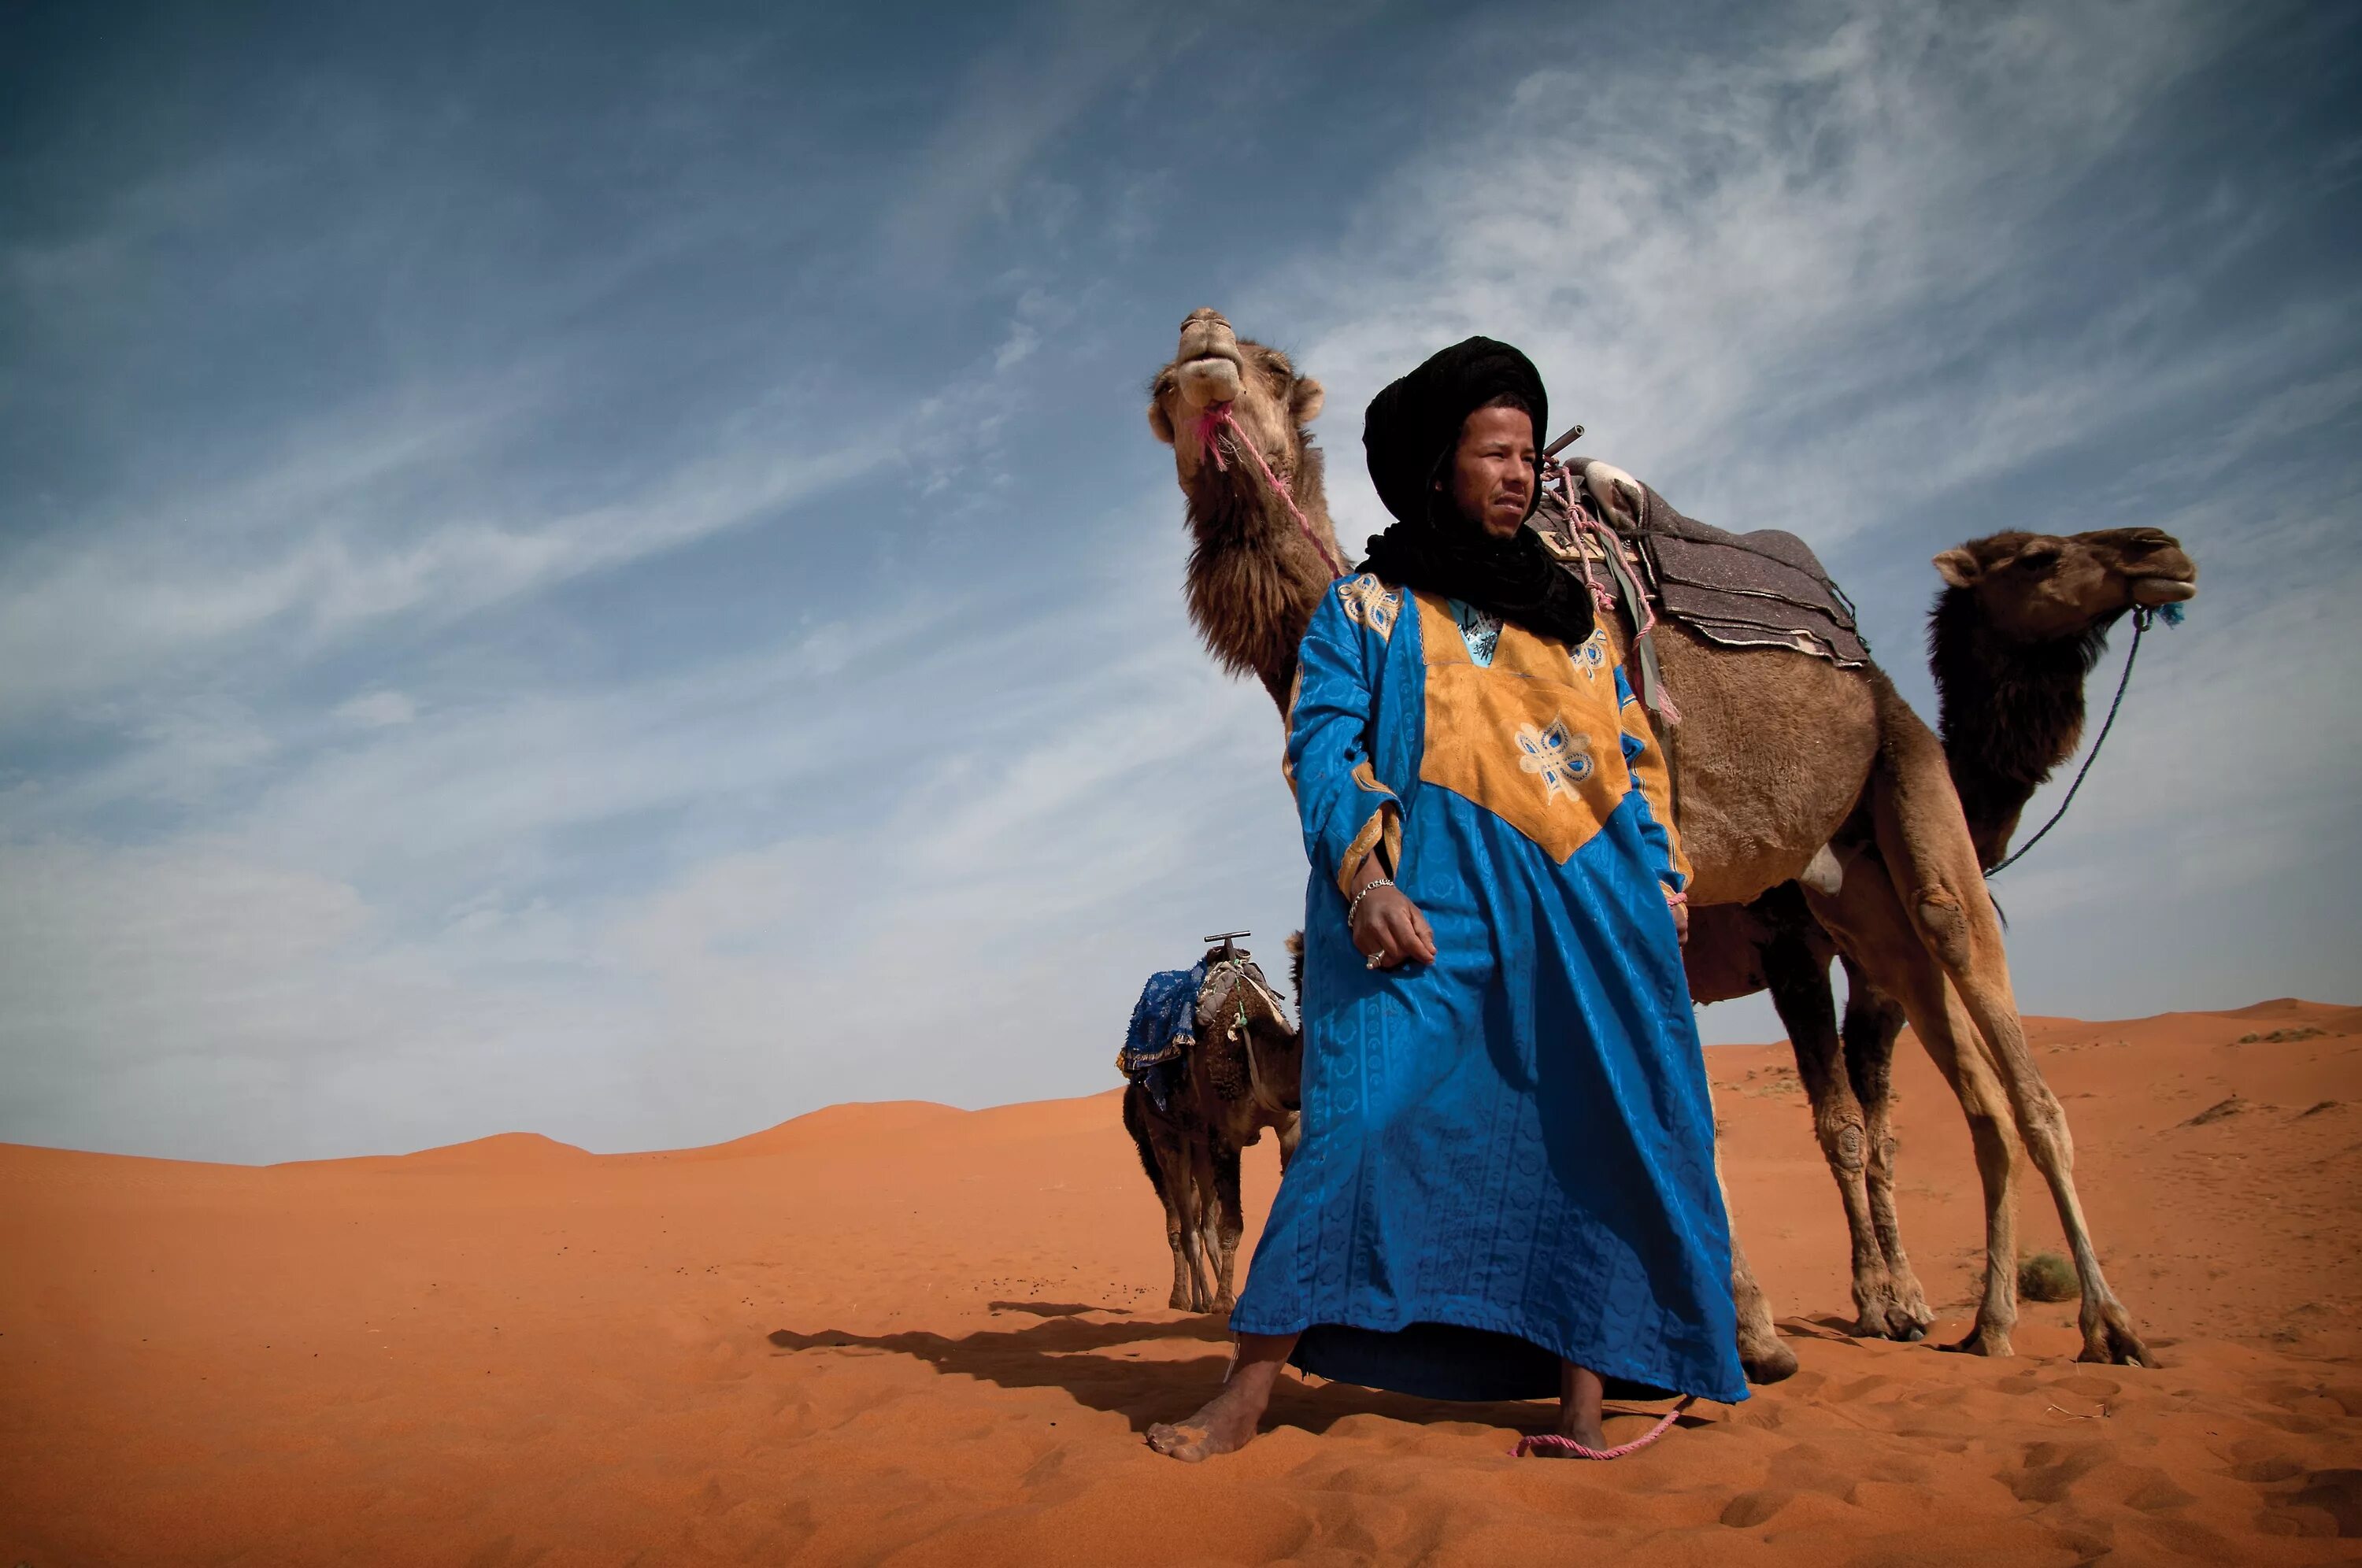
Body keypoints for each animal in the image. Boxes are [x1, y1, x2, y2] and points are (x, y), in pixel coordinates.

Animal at [1124, 945, 1313, 1313]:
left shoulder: (1290, 1127)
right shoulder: (1226, 1138)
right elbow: (1232, 1227)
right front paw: (1225, 1304)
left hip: (1200, 1146)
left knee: (1201, 1226)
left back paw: (1205, 1300)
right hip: (1163, 1138)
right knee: (1182, 1227)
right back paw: (1186, 1299)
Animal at [1682, 527, 2192, 1351]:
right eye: (2039, 559)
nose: (2161, 550)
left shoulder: (1873, 971)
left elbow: (1881, 1129)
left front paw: (1904, 1301)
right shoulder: (1790, 947)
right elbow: (1844, 1127)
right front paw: (1876, 1300)